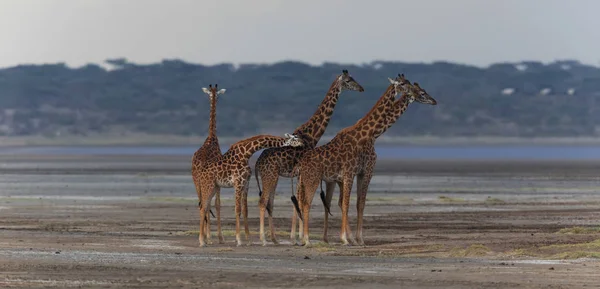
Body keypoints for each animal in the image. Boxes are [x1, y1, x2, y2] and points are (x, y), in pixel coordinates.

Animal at [254, 68, 366, 244]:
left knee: (269, 203)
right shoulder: (302, 173)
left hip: (272, 177)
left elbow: (299, 201)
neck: (311, 135)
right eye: (348, 80)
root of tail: (257, 162)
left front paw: (297, 237)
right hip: (270, 176)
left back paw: (274, 239)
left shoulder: (299, 174)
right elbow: (301, 200)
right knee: (262, 202)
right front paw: (300, 237)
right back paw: (264, 240)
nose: (361, 88)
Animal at [324, 81, 436, 245]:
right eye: (422, 93)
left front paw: (355, 238)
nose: (434, 101)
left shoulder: (358, 173)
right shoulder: (368, 169)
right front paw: (360, 239)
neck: (375, 134)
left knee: (336, 201)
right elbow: (361, 202)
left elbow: (356, 202)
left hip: (337, 179)